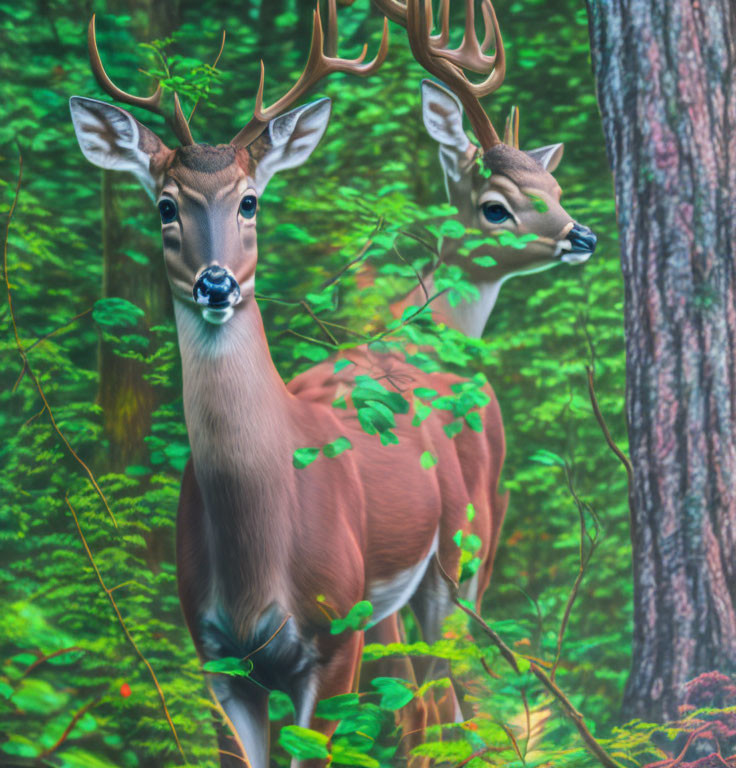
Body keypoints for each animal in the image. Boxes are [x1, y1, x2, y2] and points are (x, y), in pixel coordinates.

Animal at [69, 6, 506, 768]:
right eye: (164, 206)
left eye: (250, 201)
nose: (216, 284)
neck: (258, 551)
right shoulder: (217, 657)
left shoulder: (333, 639)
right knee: (428, 705)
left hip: (460, 561)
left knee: (459, 698)